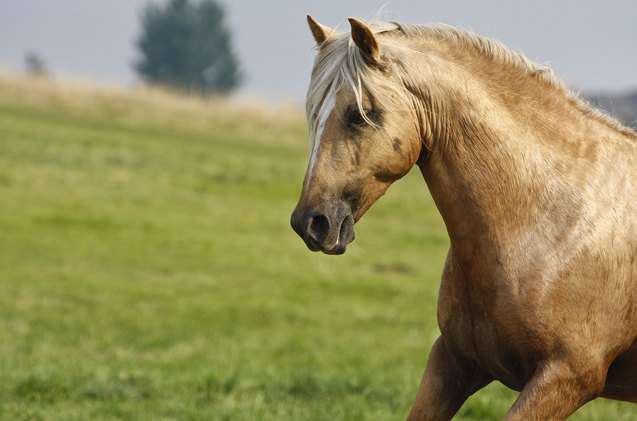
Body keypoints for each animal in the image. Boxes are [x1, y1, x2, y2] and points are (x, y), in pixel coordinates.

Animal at [290, 14, 636, 418]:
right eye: (314, 113)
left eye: (361, 114)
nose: (310, 223)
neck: (552, 223)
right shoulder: (453, 361)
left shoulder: (566, 379)